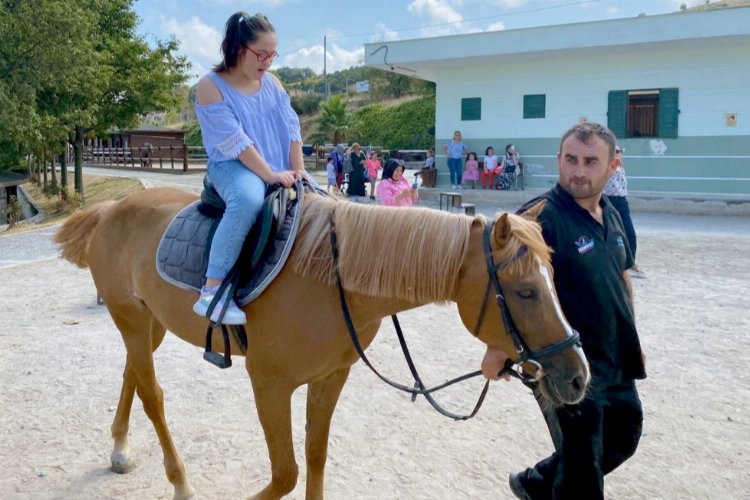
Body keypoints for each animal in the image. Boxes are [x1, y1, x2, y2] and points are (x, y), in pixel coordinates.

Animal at [55, 188, 592, 500]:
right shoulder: (269, 385)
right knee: (153, 393)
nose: (578, 376)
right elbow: (286, 474)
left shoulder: (331, 378)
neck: (332, 278)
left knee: (133, 373)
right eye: (525, 291)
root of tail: (111, 208)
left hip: (150, 323)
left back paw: (120, 449)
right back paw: (181, 484)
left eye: (553, 279)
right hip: (130, 318)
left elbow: (314, 459)